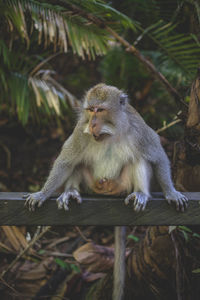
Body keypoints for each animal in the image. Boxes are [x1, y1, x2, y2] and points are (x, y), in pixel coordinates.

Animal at [24, 82, 188, 300]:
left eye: (100, 110)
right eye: (90, 110)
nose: (93, 124)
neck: (108, 133)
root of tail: (107, 191)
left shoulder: (138, 129)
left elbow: (157, 156)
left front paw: (171, 192)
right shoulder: (80, 129)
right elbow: (66, 161)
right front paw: (42, 193)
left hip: (122, 185)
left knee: (139, 158)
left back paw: (141, 193)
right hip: (92, 185)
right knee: (78, 162)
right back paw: (71, 192)